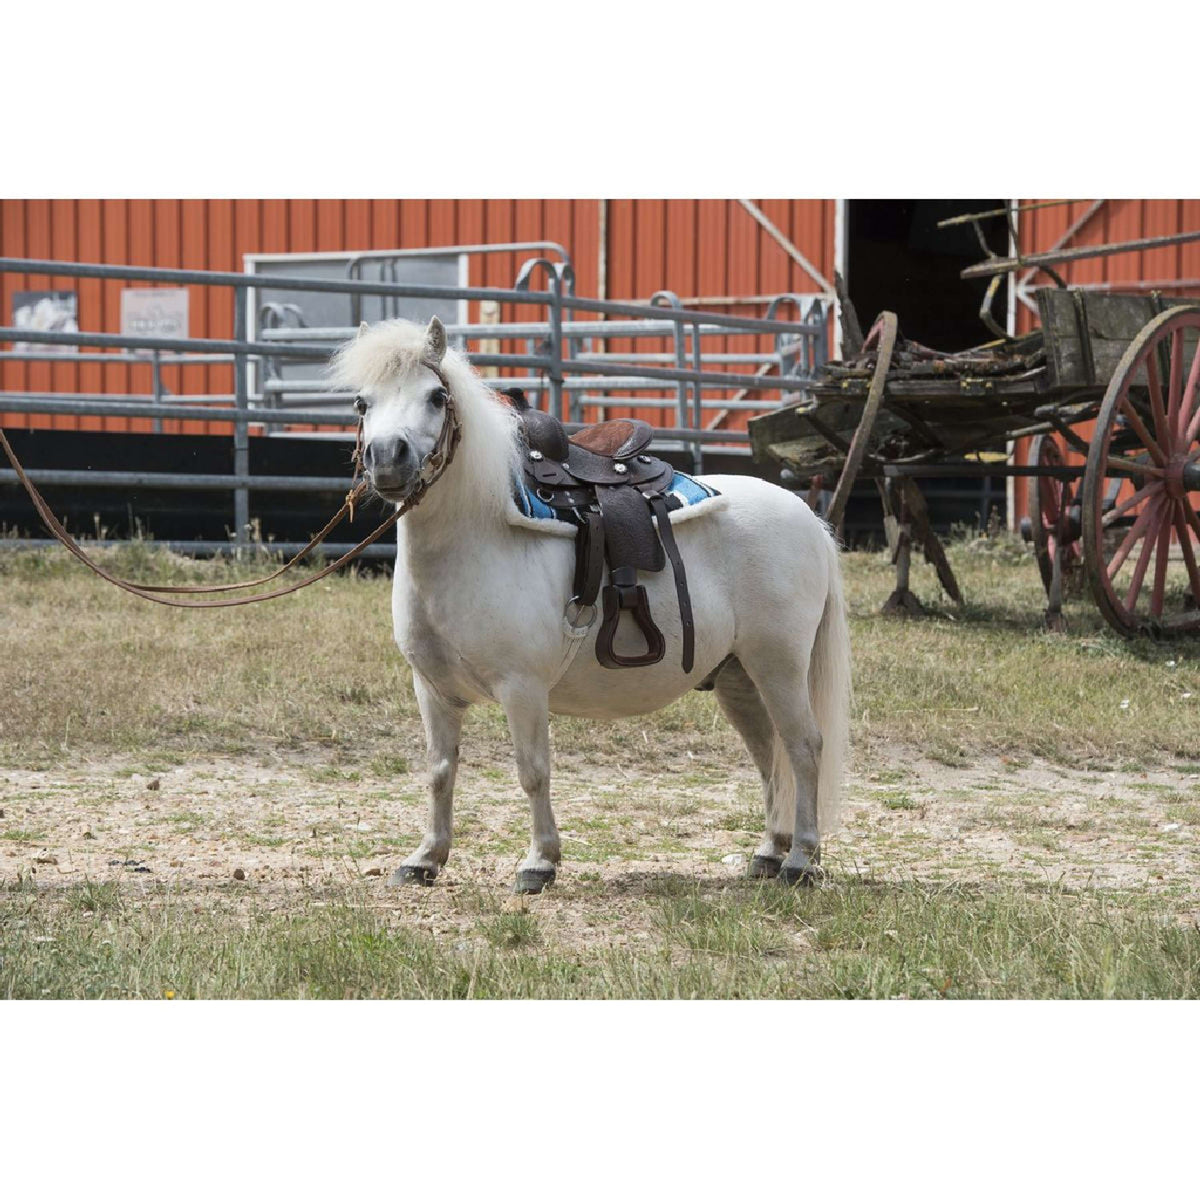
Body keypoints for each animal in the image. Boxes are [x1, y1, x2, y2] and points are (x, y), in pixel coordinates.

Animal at [331, 316, 854, 892]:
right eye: (361, 402)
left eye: (436, 397)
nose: (387, 459)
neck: (478, 533)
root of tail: (809, 519)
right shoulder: (433, 689)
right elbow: (440, 771)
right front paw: (426, 858)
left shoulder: (522, 687)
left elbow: (532, 770)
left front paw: (539, 862)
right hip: (739, 676)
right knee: (769, 755)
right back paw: (768, 853)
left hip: (778, 665)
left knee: (804, 747)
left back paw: (801, 859)